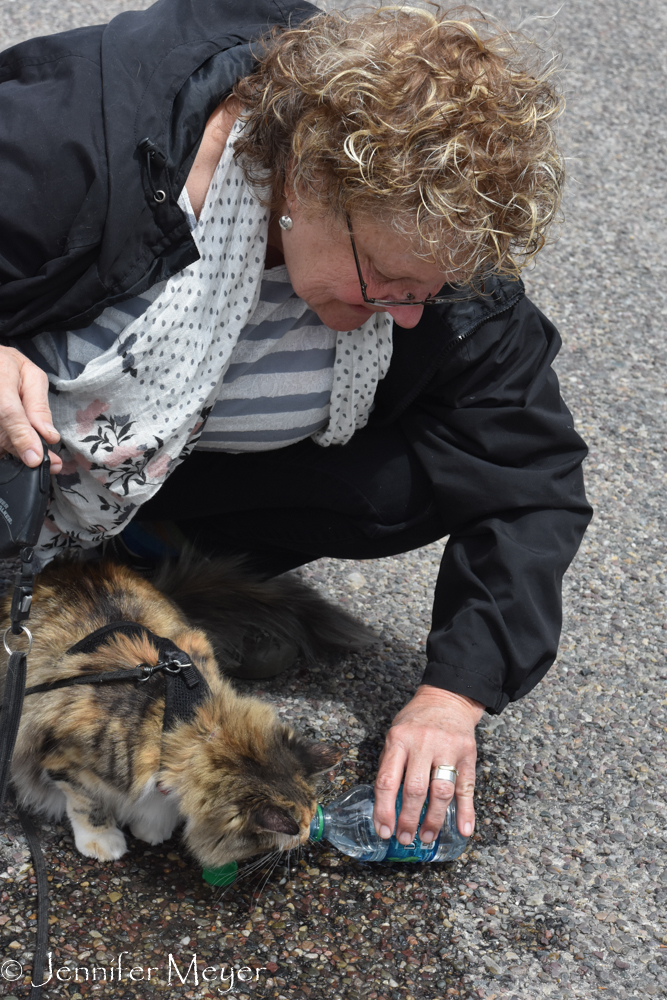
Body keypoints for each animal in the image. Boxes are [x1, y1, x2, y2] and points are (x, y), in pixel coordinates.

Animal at [1, 556, 376, 868]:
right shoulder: (63, 756)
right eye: (298, 829)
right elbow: (88, 804)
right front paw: (103, 841)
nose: (309, 834)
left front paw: (152, 826)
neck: (187, 721)